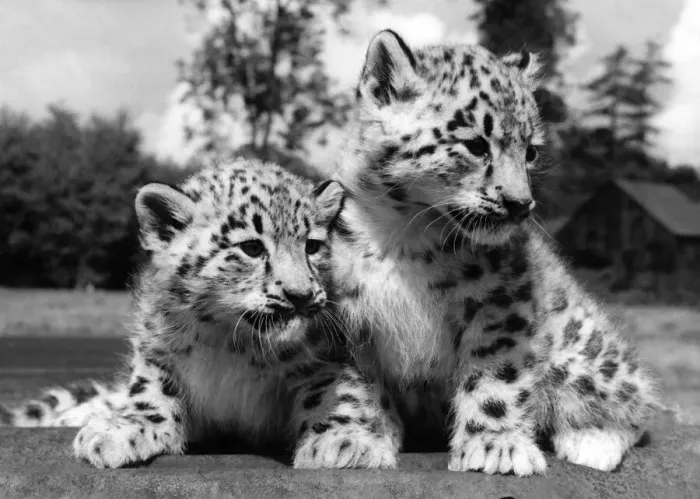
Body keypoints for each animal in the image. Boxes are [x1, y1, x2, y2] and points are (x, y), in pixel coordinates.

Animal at [0, 157, 401, 470]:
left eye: (313, 246)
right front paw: (118, 430)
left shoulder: (326, 358)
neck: (231, 341)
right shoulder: (157, 351)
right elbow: (148, 393)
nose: (300, 295)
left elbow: (336, 395)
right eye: (252, 247)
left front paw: (344, 442)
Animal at [328, 29, 661, 476]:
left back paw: (592, 442)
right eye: (475, 145)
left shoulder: (498, 306)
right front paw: (353, 440)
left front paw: (496, 448)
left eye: (530, 151)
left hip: (582, 350)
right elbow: (354, 385)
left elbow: (494, 379)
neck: (403, 235)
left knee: (634, 396)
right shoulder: (346, 317)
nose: (521, 204)